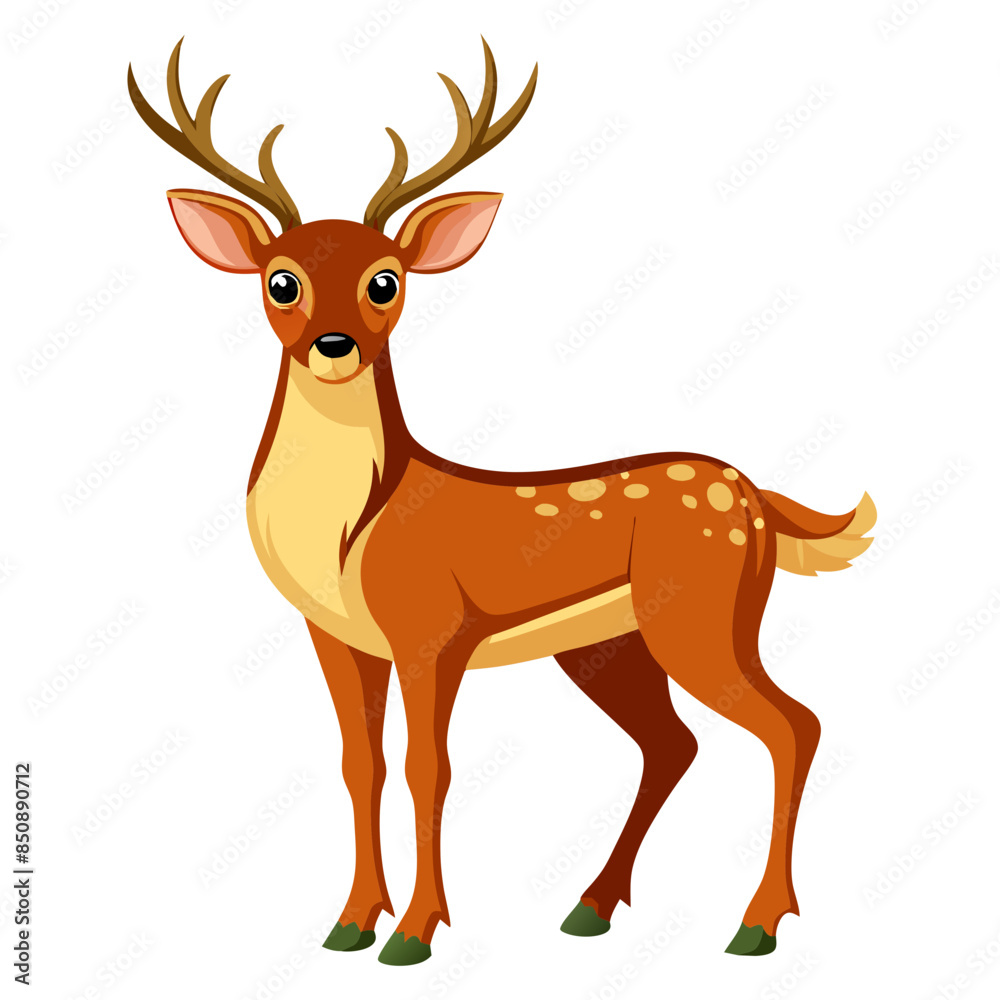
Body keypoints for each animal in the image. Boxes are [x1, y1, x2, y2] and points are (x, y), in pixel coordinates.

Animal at [128, 37, 875, 966]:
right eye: (281, 280)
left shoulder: (434, 628)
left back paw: (756, 924)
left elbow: (429, 766)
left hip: (703, 612)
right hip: (608, 645)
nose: (333, 345)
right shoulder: (337, 637)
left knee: (792, 724)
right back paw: (591, 907)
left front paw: (414, 933)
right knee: (675, 742)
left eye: (385, 281)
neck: (353, 534)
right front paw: (349, 922)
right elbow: (360, 764)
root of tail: (754, 497)